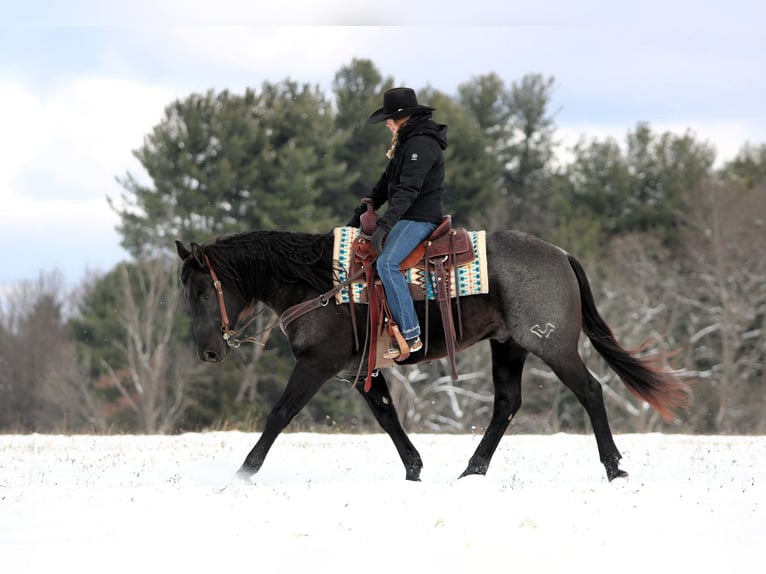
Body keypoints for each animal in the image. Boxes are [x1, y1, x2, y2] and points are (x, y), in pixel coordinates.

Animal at [175, 228, 691, 482]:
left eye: (200, 290)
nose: (208, 351)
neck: (318, 282)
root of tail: (562, 254)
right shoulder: (359, 370)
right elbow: (386, 416)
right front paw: (414, 469)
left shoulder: (317, 365)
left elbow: (279, 414)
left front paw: (243, 472)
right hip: (507, 347)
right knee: (507, 404)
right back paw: (471, 471)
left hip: (552, 345)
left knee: (590, 390)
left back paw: (614, 468)